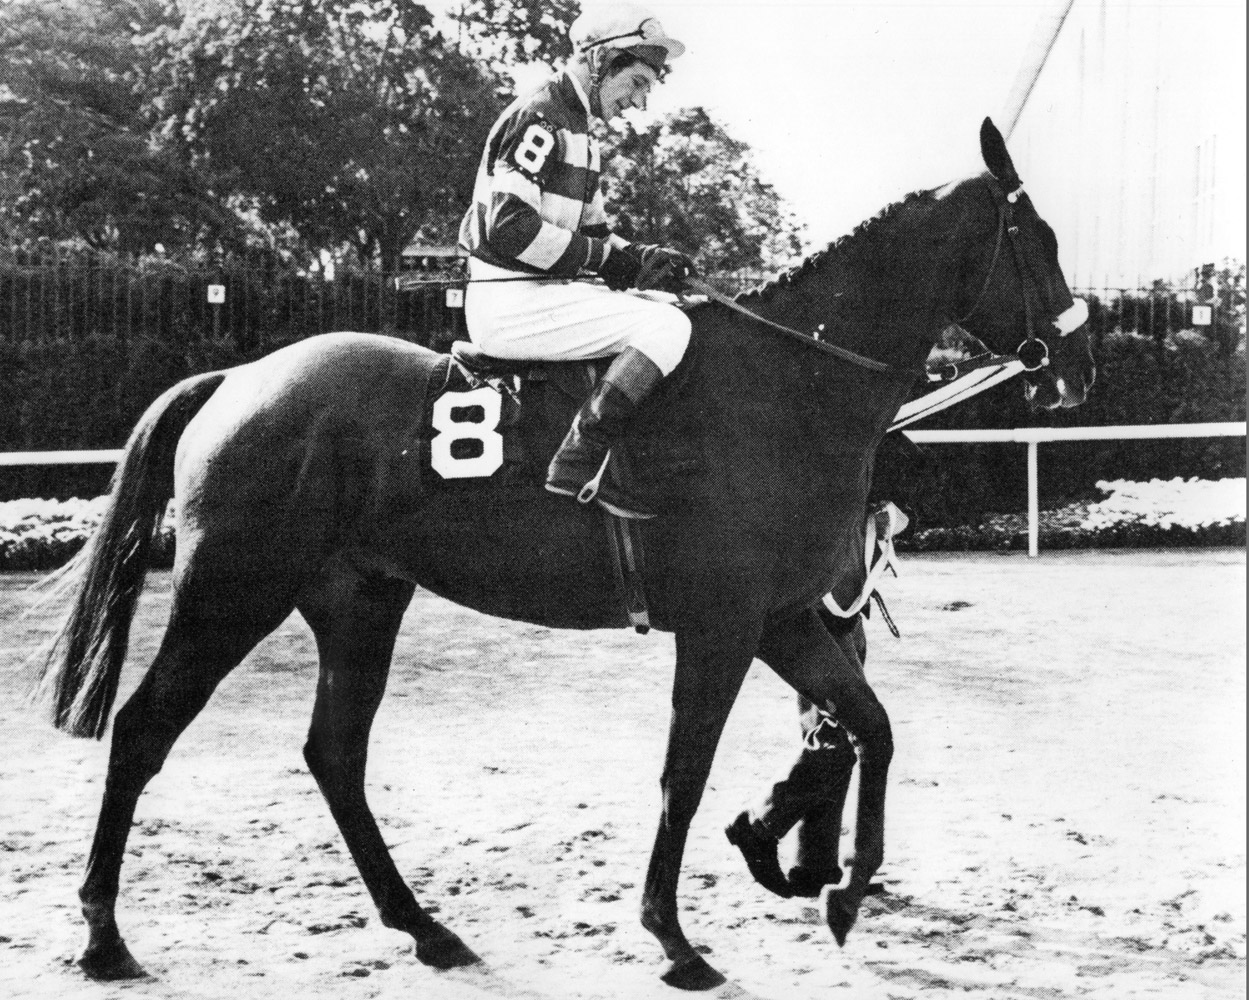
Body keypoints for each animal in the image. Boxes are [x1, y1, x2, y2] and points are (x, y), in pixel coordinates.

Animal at [36, 119, 1094, 988]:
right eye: (1038, 240)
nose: (1077, 368)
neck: (786, 380)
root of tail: (237, 378)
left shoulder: (785, 617)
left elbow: (865, 726)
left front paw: (826, 879)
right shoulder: (721, 627)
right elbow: (685, 771)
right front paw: (674, 936)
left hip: (358, 602)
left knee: (334, 752)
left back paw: (424, 927)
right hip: (231, 593)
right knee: (142, 732)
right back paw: (102, 936)